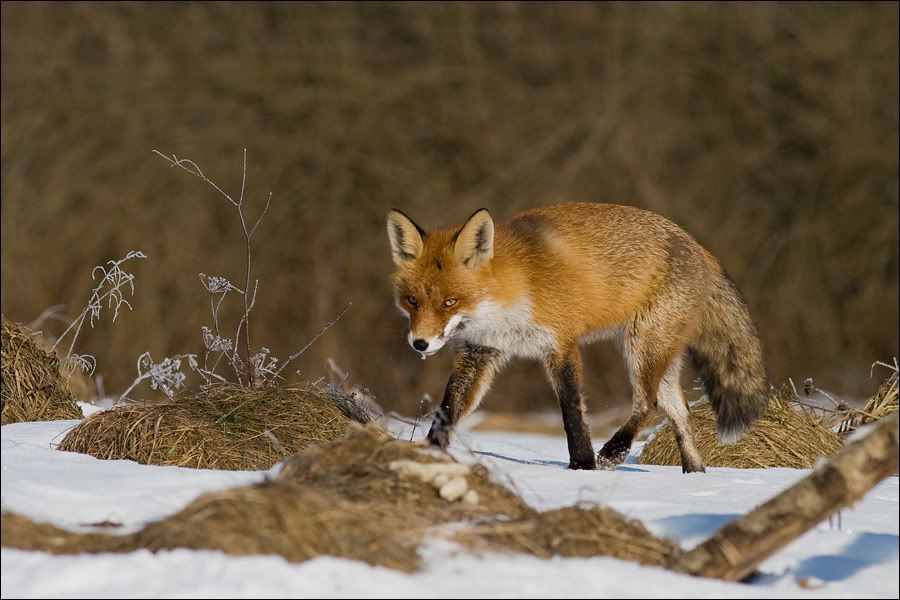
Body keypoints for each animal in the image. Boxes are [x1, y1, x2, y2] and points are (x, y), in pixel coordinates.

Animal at [386, 204, 768, 472]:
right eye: (413, 301)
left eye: (450, 302)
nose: (420, 344)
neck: (512, 294)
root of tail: (700, 247)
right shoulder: (480, 352)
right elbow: (448, 408)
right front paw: (430, 450)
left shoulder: (561, 343)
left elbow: (571, 410)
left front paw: (582, 464)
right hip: (659, 355)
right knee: (681, 414)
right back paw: (695, 476)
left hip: (642, 346)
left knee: (648, 404)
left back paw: (614, 451)